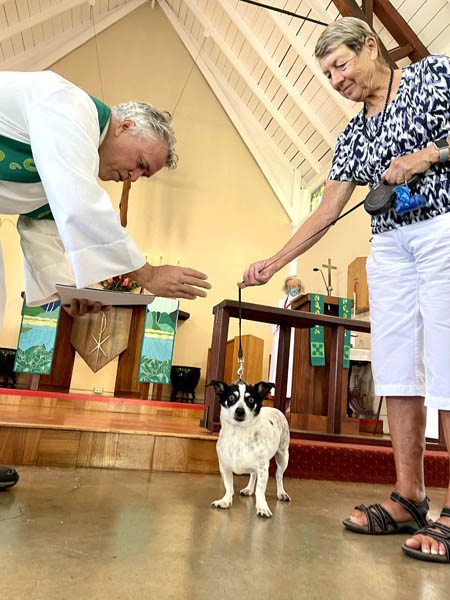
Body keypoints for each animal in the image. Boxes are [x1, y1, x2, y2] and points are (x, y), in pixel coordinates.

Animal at [209, 382, 290, 516]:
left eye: (251, 399)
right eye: (231, 397)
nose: (239, 411)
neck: (239, 432)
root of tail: (275, 409)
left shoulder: (263, 468)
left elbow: (260, 490)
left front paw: (262, 507)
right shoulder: (224, 467)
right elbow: (229, 486)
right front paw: (225, 501)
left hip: (283, 456)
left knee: (279, 475)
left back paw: (281, 492)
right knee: (253, 474)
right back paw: (249, 489)